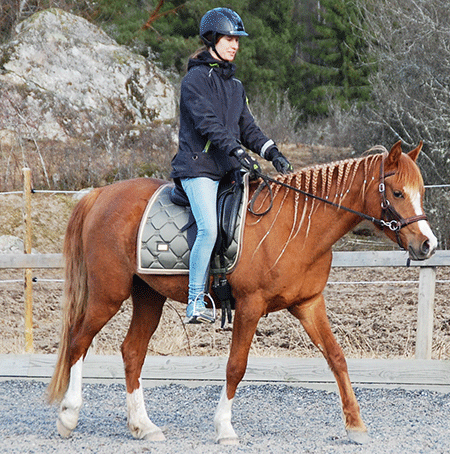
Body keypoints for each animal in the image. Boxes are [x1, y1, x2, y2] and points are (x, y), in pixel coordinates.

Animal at [45, 141, 436, 444]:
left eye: (420, 192)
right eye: (397, 193)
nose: (428, 244)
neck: (299, 226)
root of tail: (100, 194)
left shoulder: (309, 304)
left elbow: (337, 358)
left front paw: (355, 426)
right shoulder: (250, 306)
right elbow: (236, 367)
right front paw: (224, 428)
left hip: (147, 296)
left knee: (132, 352)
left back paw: (143, 426)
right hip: (107, 294)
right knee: (79, 340)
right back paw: (68, 417)